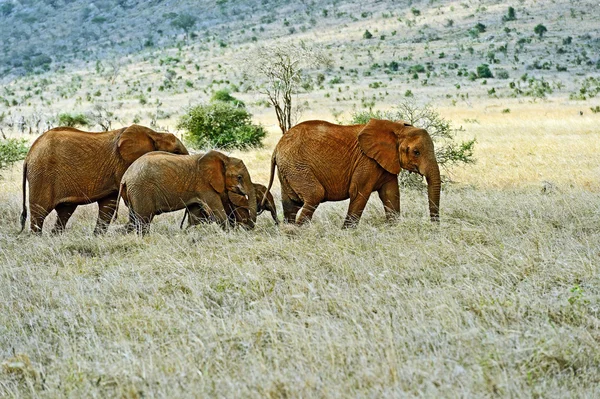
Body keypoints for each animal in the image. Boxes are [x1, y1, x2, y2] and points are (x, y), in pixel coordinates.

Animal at [19, 125, 188, 234]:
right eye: (176, 151)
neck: (155, 134)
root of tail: (28, 155)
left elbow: (108, 206)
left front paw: (99, 236)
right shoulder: (124, 164)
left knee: (64, 211)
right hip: (42, 174)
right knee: (39, 212)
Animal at [116, 152, 256, 236]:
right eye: (239, 177)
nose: (250, 228)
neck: (224, 158)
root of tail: (125, 177)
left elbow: (195, 215)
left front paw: (189, 232)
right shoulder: (205, 185)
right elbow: (217, 211)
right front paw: (231, 234)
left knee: (133, 220)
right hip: (140, 190)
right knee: (143, 221)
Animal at [262, 118, 440, 228]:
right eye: (416, 152)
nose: (434, 226)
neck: (396, 127)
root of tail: (277, 148)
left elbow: (390, 194)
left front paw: (394, 228)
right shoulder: (366, 161)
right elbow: (359, 193)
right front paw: (346, 232)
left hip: (288, 169)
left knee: (291, 203)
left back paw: (288, 231)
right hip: (296, 166)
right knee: (314, 195)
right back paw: (297, 232)